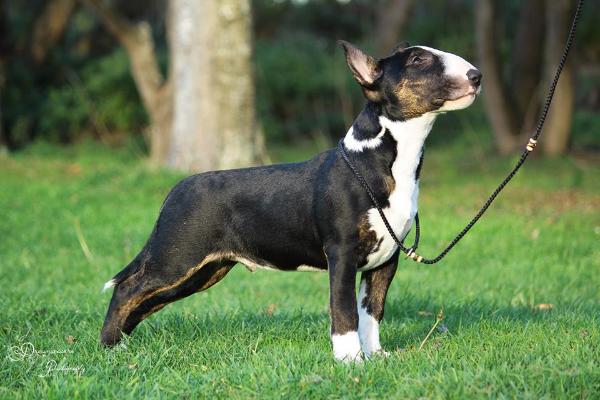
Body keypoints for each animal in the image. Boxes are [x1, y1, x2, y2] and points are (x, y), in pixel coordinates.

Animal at [101, 41, 480, 362]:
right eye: (417, 60)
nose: (476, 76)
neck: (380, 160)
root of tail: (175, 190)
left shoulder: (386, 260)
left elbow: (372, 311)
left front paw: (376, 356)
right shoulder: (341, 253)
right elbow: (344, 310)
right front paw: (350, 361)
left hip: (204, 271)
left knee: (145, 300)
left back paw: (123, 345)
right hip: (177, 258)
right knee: (128, 290)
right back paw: (108, 348)